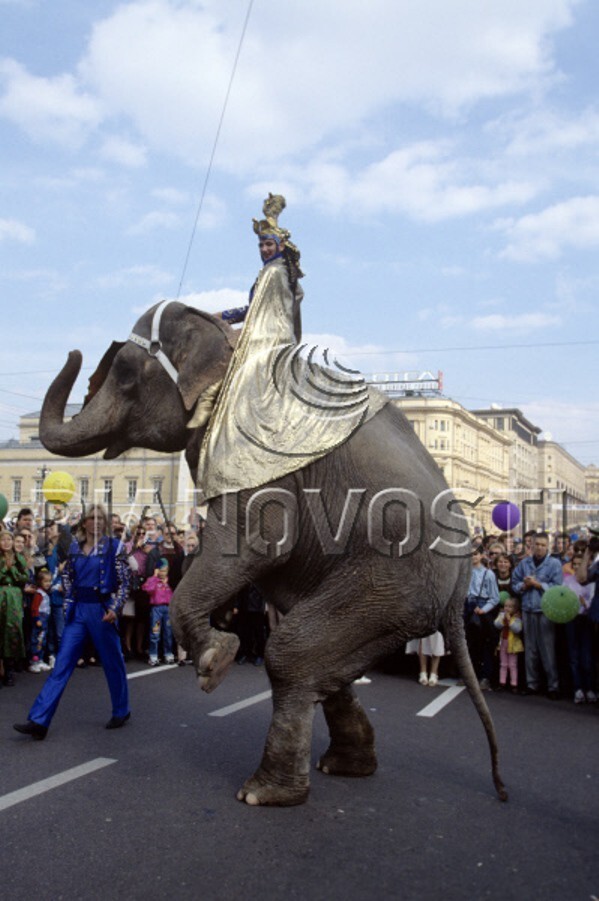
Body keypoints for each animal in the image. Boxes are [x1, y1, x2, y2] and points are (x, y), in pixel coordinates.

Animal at [39, 302, 506, 808]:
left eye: (124, 372)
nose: (74, 351)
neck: (230, 342)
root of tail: (459, 588)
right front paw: (218, 653)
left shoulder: (254, 451)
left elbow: (255, 542)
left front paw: (215, 663)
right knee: (323, 663)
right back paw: (344, 766)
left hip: (394, 582)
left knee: (289, 653)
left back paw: (264, 793)